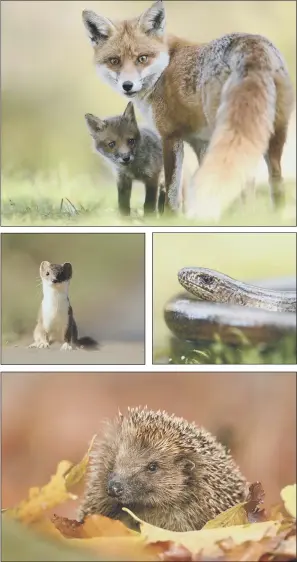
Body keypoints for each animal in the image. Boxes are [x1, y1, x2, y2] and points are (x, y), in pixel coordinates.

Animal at [81, 1, 294, 220]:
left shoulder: (170, 136)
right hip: (272, 134)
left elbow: (172, 189)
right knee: (275, 180)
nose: (127, 85)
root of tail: (252, 44)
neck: (165, 67)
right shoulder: (201, 142)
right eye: (114, 61)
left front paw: (169, 219)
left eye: (142, 58)